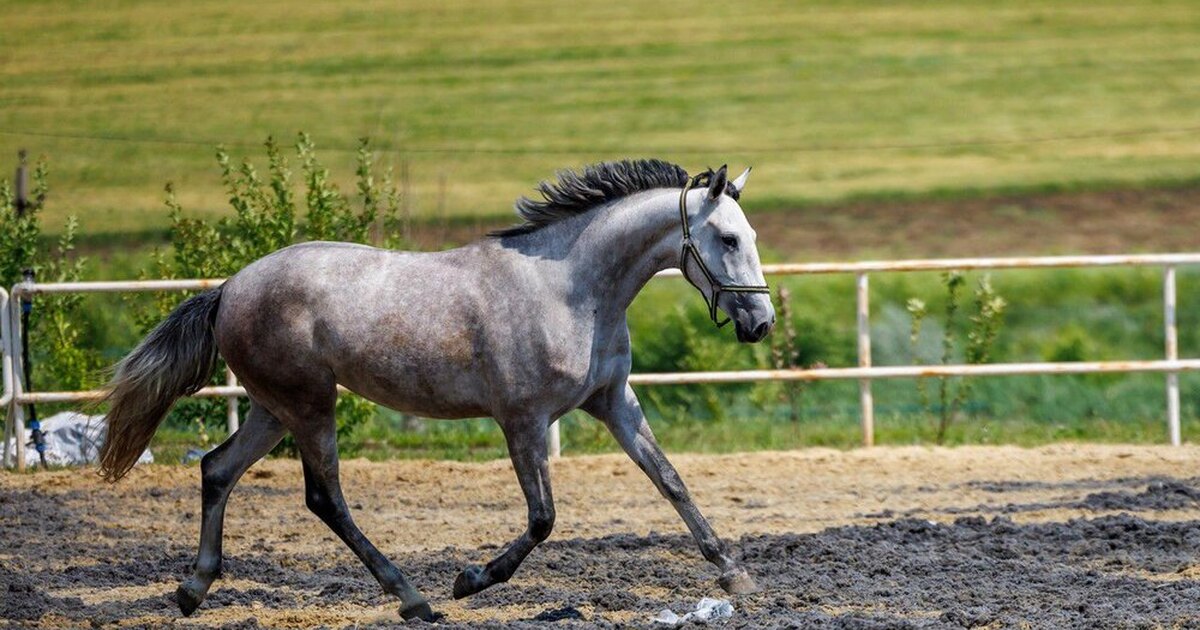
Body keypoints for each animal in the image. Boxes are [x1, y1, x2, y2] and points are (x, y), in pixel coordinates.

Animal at [100, 159, 777, 619]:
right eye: (728, 239)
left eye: (751, 237)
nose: (761, 323)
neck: (573, 289)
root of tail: (228, 289)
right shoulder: (523, 419)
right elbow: (543, 518)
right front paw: (471, 579)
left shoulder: (613, 402)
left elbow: (670, 480)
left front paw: (733, 575)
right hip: (310, 403)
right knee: (325, 497)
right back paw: (414, 599)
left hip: (274, 407)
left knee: (218, 469)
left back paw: (193, 590)